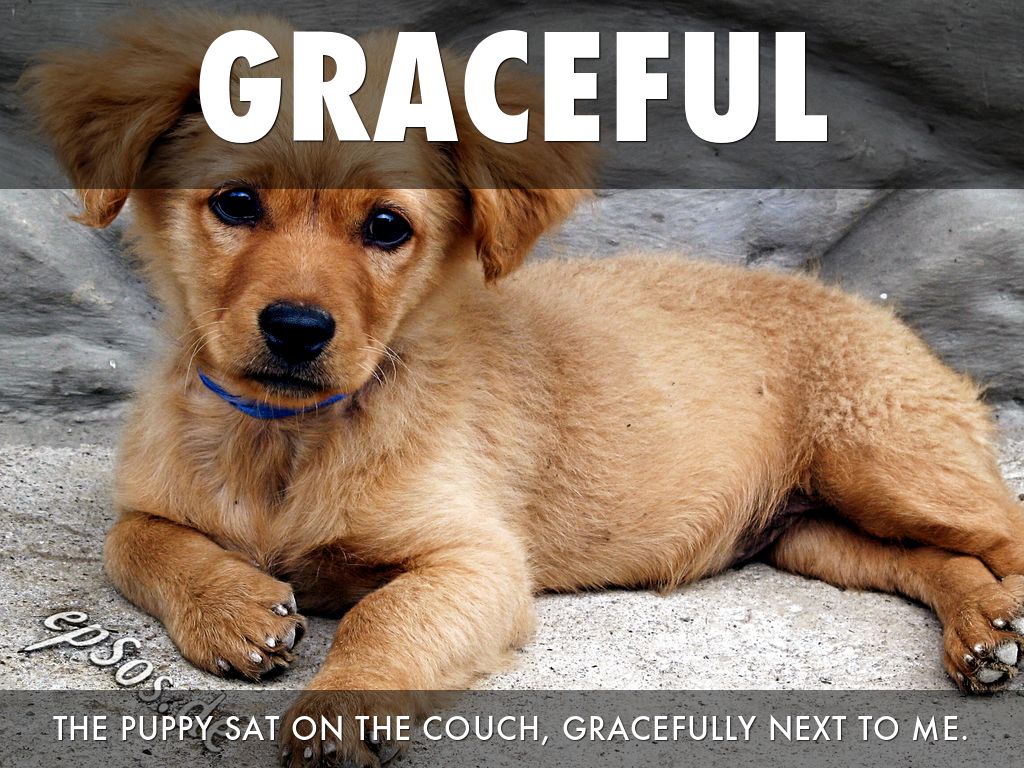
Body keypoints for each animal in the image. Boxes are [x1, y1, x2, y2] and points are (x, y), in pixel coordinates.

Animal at [23, 11, 1024, 767]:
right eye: (235, 203)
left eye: (386, 227)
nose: (298, 330)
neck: (286, 438)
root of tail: (869, 306)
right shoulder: (151, 501)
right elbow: (133, 543)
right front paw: (232, 609)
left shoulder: (477, 560)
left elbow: (385, 616)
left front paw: (341, 711)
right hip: (814, 533)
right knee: (929, 561)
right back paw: (984, 632)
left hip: (887, 466)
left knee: (1000, 532)